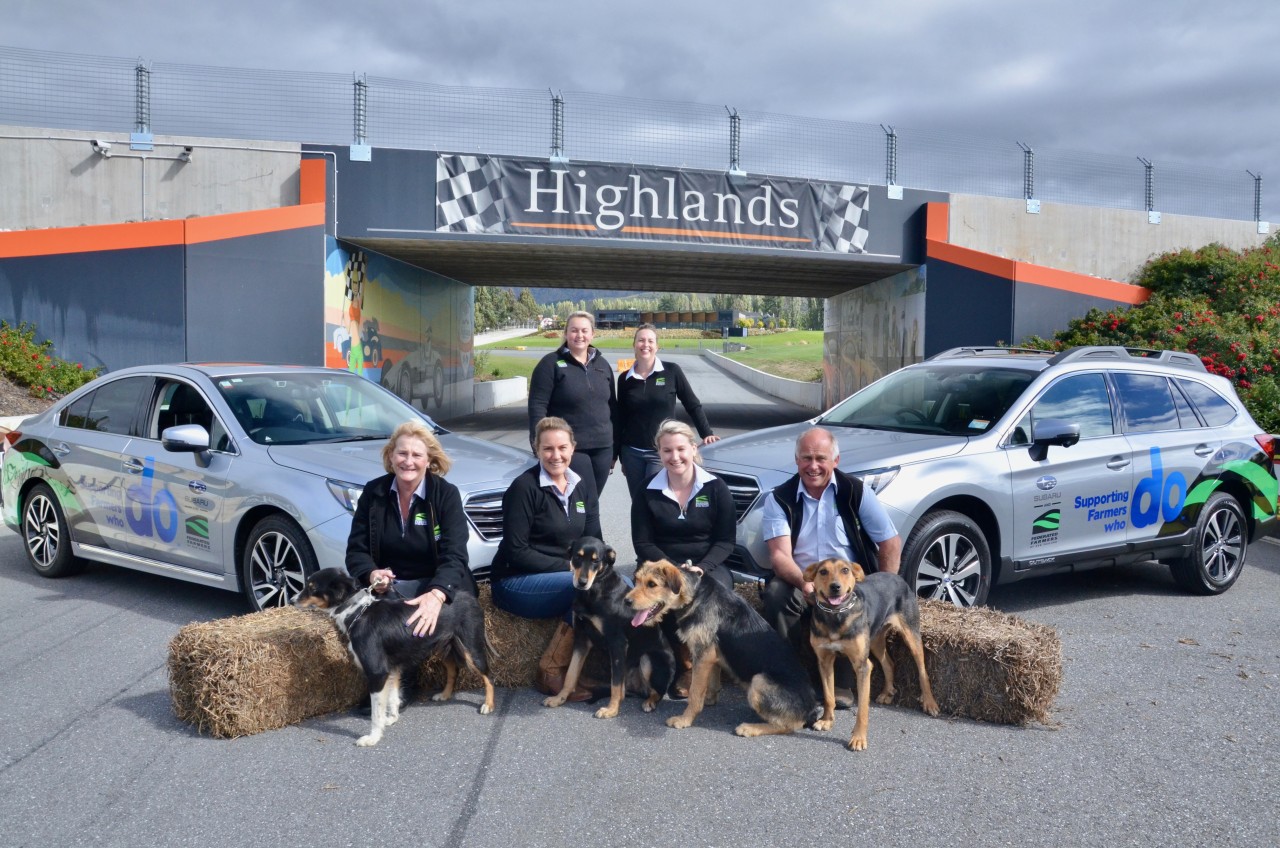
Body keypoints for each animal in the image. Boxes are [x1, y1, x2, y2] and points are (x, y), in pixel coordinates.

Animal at [294, 571, 494, 742]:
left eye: (312, 587)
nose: (292, 599)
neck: (358, 613)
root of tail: (470, 598)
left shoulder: (377, 672)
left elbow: (376, 711)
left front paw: (373, 737)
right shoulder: (392, 669)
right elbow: (392, 697)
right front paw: (391, 718)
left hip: (471, 648)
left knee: (488, 675)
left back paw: (488, 705)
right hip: (441, 645)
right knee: (453, 670)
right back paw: (444, 695)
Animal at [542, 538, 680, 717]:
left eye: (596, 560)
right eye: (577, 557)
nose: (582, 583)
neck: (595, 589)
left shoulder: (617, 642)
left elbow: (615, 684)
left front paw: (611, 710)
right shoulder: (581, 637)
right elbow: (571, 674)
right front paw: (559, 698)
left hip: (648, 659)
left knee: (656, 692)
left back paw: (649, 702)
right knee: (624, 689)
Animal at [629, 558, 819, 737]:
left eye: (652, 584)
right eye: (637, 580)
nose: (626, 601)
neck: (695, 595)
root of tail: (810, 709)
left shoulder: (702, 655)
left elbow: (694, 693)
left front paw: (685, 719)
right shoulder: (712, 657)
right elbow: (710, 684)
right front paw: (709, 701)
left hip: (758, 681)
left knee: (789, 726)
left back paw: (749, 728)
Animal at [798, 561, 942, 753]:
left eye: (845, 570)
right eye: (823, 571)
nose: (835, 587)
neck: (836, 615)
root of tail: (897, 577)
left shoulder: (862, 666)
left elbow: (862, 710)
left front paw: (858, 739)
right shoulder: (825, 661)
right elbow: (829, 697)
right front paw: (827, 721)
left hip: (911, 635)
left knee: (922, 670)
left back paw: (930, 703)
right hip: (875, 639)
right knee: (889, 663)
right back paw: (887, 693)